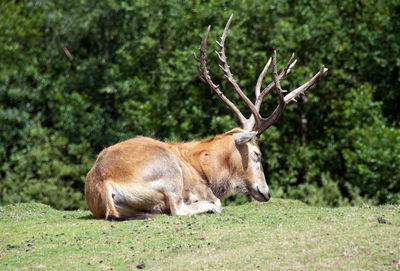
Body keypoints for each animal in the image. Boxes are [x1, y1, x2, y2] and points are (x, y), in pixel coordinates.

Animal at [85, 14, 328, 221]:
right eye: (258, 154)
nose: (266, 192)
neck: (205, 167)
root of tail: (104, 182)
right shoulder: (200, 188)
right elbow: (213, 200)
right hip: (169, 171)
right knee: (179, 208)